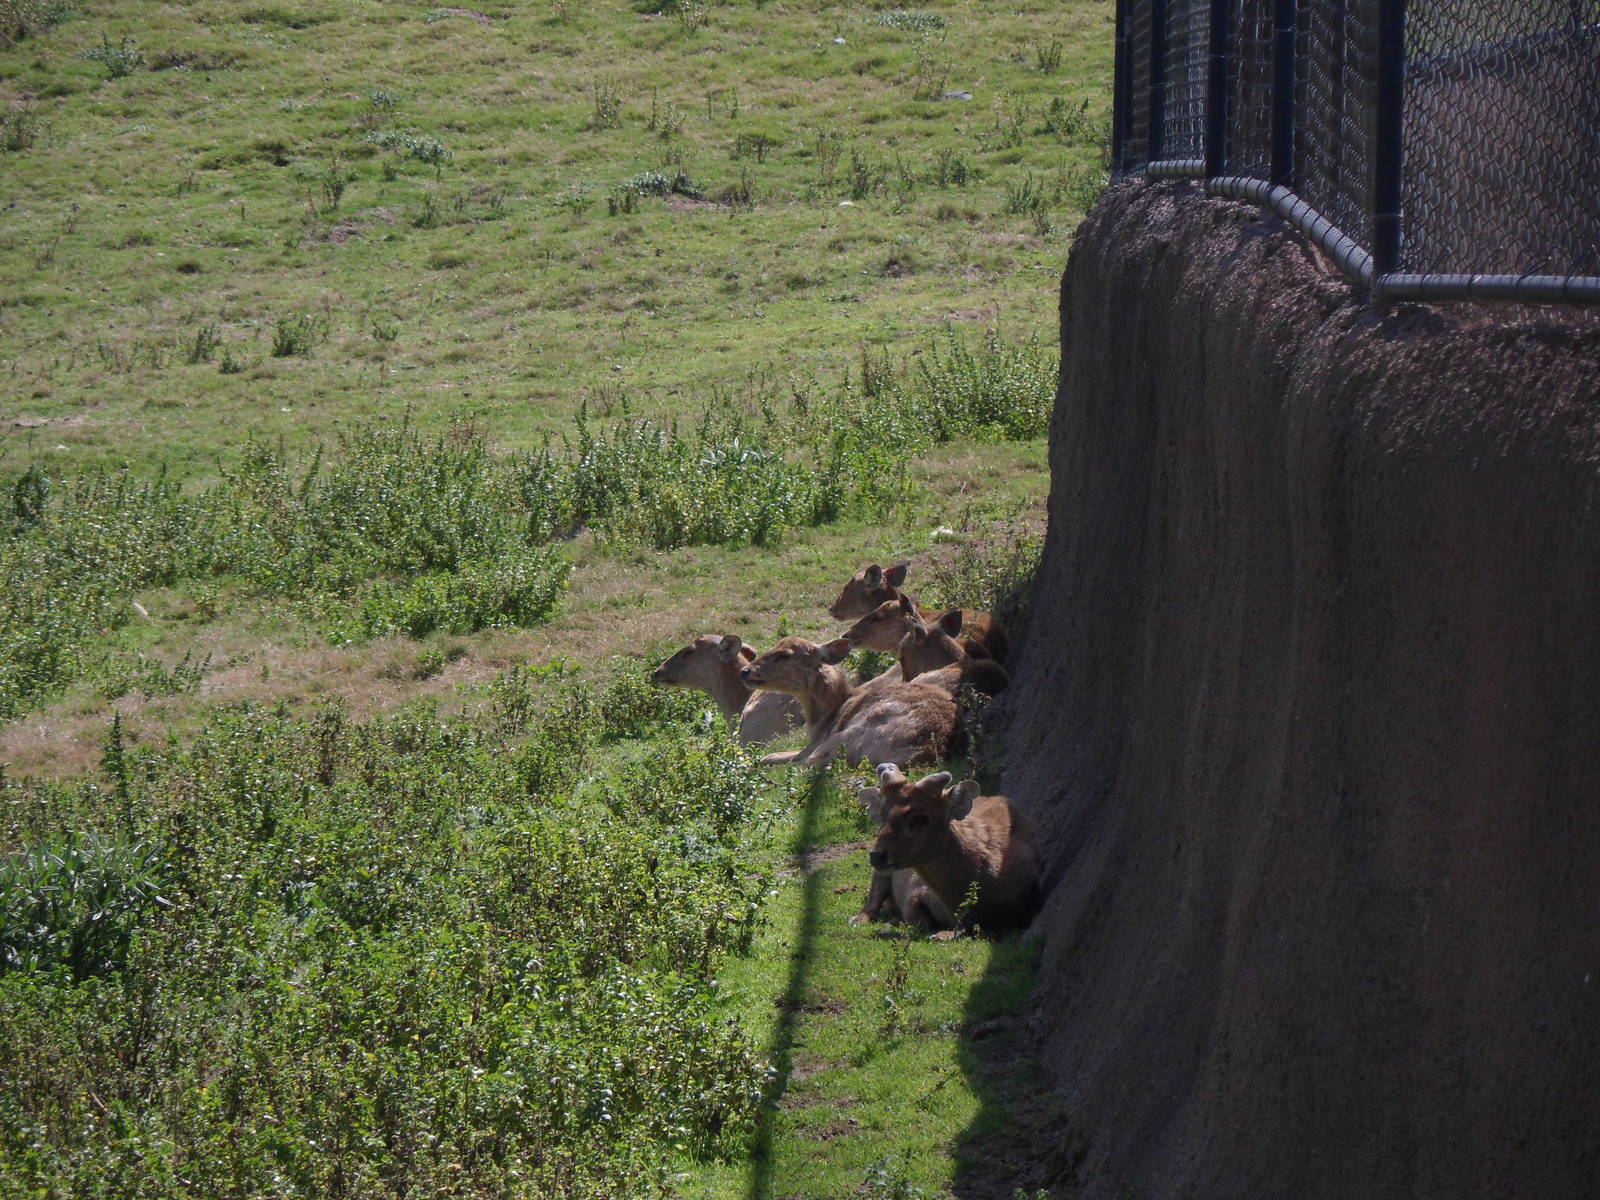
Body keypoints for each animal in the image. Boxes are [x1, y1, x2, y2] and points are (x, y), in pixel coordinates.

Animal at [737, 636, 961, 768]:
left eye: (784, 654)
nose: (745, 671)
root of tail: (918, 753)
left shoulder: (820, 740)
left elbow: (779, 756)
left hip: (847, 735)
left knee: (810, 763)